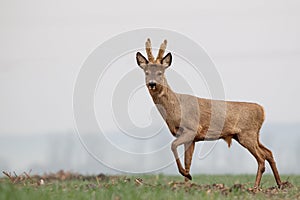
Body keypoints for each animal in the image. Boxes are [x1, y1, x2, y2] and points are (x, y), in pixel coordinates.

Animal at [137, 38, 282, 189]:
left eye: (160, 72)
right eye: (146, 72)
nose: (152, 83)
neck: (176, 108)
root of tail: (262, 110)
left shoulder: (192, 128)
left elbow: (173, 145)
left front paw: (187, 176)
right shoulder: (190, 138)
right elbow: (188, 161)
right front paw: (187, 182)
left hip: (247, 134)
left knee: (261, 158)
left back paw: (255, 187)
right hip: (249, 135)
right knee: (268, 152)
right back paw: (280, 184)